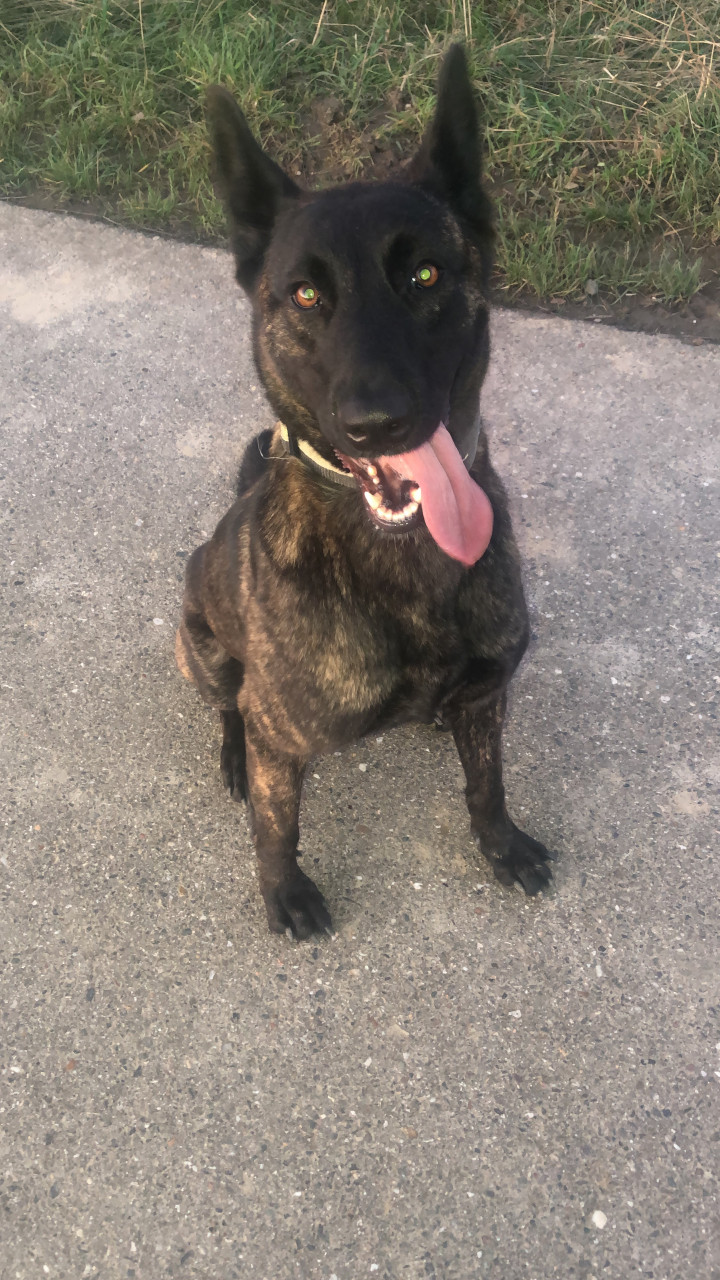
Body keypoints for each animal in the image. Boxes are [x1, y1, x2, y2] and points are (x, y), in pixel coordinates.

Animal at [176, 45, 555, 938]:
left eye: (425, 274)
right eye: (306, 294)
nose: (377, 423)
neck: (404, 557)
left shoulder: (489, 699)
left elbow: (487, 783)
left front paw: (501, 843)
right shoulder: (283, 738)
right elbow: (277, 824)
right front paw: (284, 890)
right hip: (200, 645)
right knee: (228, 705)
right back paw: (231, 747)